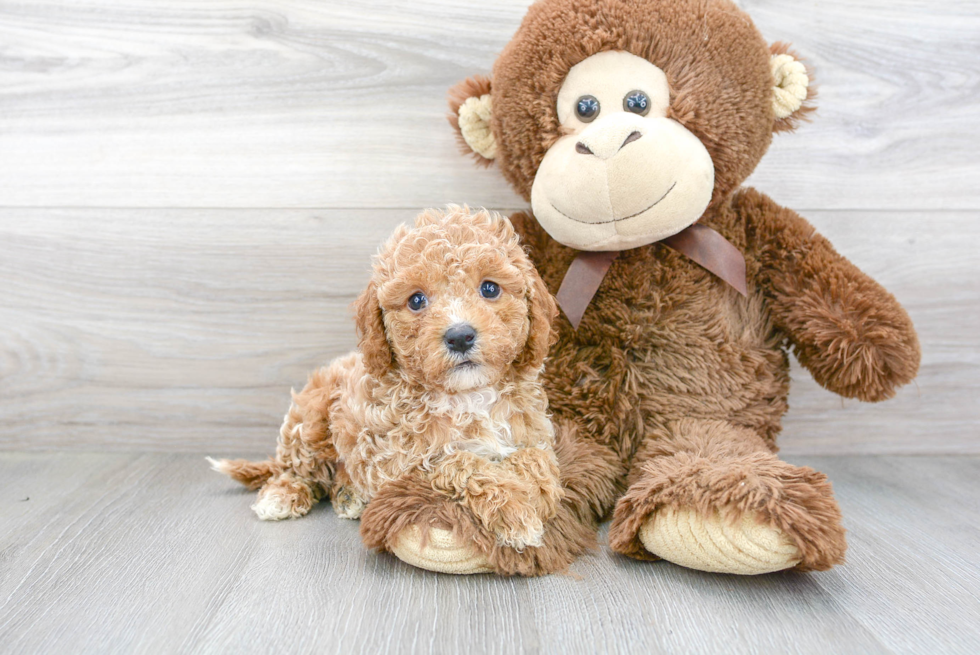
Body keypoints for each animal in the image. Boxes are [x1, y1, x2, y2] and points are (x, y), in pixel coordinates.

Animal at [211, 206, 564, 552]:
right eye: (416, 300)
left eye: (489, 288)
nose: (460, 336)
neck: (467, 395)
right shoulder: (401, 462)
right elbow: (462, 463)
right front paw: (514, 511)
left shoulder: (531, 432)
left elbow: (539, 459)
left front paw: (538, 494)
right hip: (310, 420)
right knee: (295, 468)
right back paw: (281, 496)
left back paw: (349, 495)